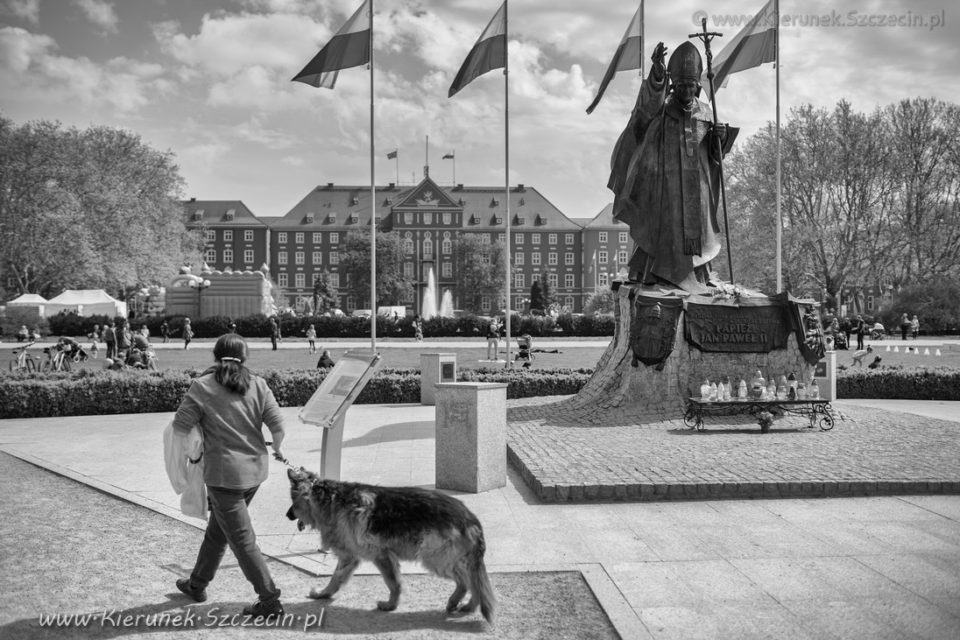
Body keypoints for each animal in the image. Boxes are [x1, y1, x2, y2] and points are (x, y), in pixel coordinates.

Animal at [284, 468, 496, 624]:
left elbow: (393, 583)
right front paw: (324, 594)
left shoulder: (381, 556)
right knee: (474, 584)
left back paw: (456, 602)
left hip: (434, 559)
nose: (287, 515)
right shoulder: (349, 558)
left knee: (466, 582)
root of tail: (470, 519)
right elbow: (336, 579)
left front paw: (390, 606)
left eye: (292, 501)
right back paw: (468, 606)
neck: (329, 497)